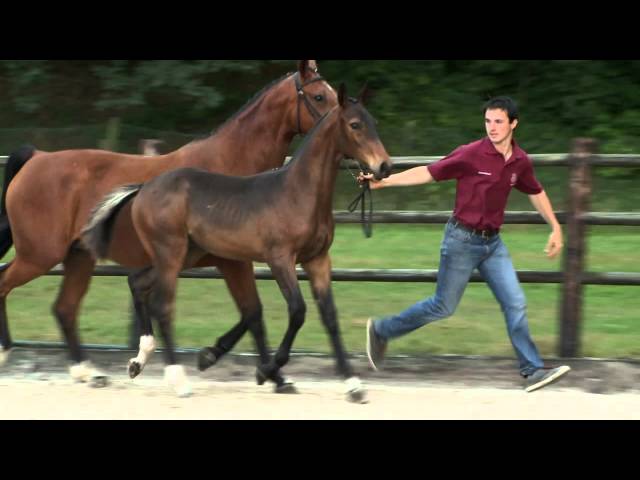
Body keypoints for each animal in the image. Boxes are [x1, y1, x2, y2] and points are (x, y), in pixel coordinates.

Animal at [0, 60, 337, 386]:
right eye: (319, 96)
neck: (233, 169)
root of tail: (37, 157)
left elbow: (251, 314)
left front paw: (247, 366)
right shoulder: (232, 261)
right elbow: (253, 314)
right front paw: (262, 371)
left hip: (79, 257)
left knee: (64, 309)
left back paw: (88, 373)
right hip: (40, 255)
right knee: (7, 284)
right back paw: (8, 352)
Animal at [82, 83, 392, 402]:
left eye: (372, 122)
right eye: (354, 125)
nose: (384, 166)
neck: (298, 192)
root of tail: (145, 187)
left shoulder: (317, 259)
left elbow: (329, 316)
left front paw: (353, 384)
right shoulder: (279, 259)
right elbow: (295, 311)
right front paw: (266, 371)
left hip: (187, 255)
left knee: (137, 283)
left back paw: (138, 360)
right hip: (171, 253)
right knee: (162, 306)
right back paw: (178, 379)